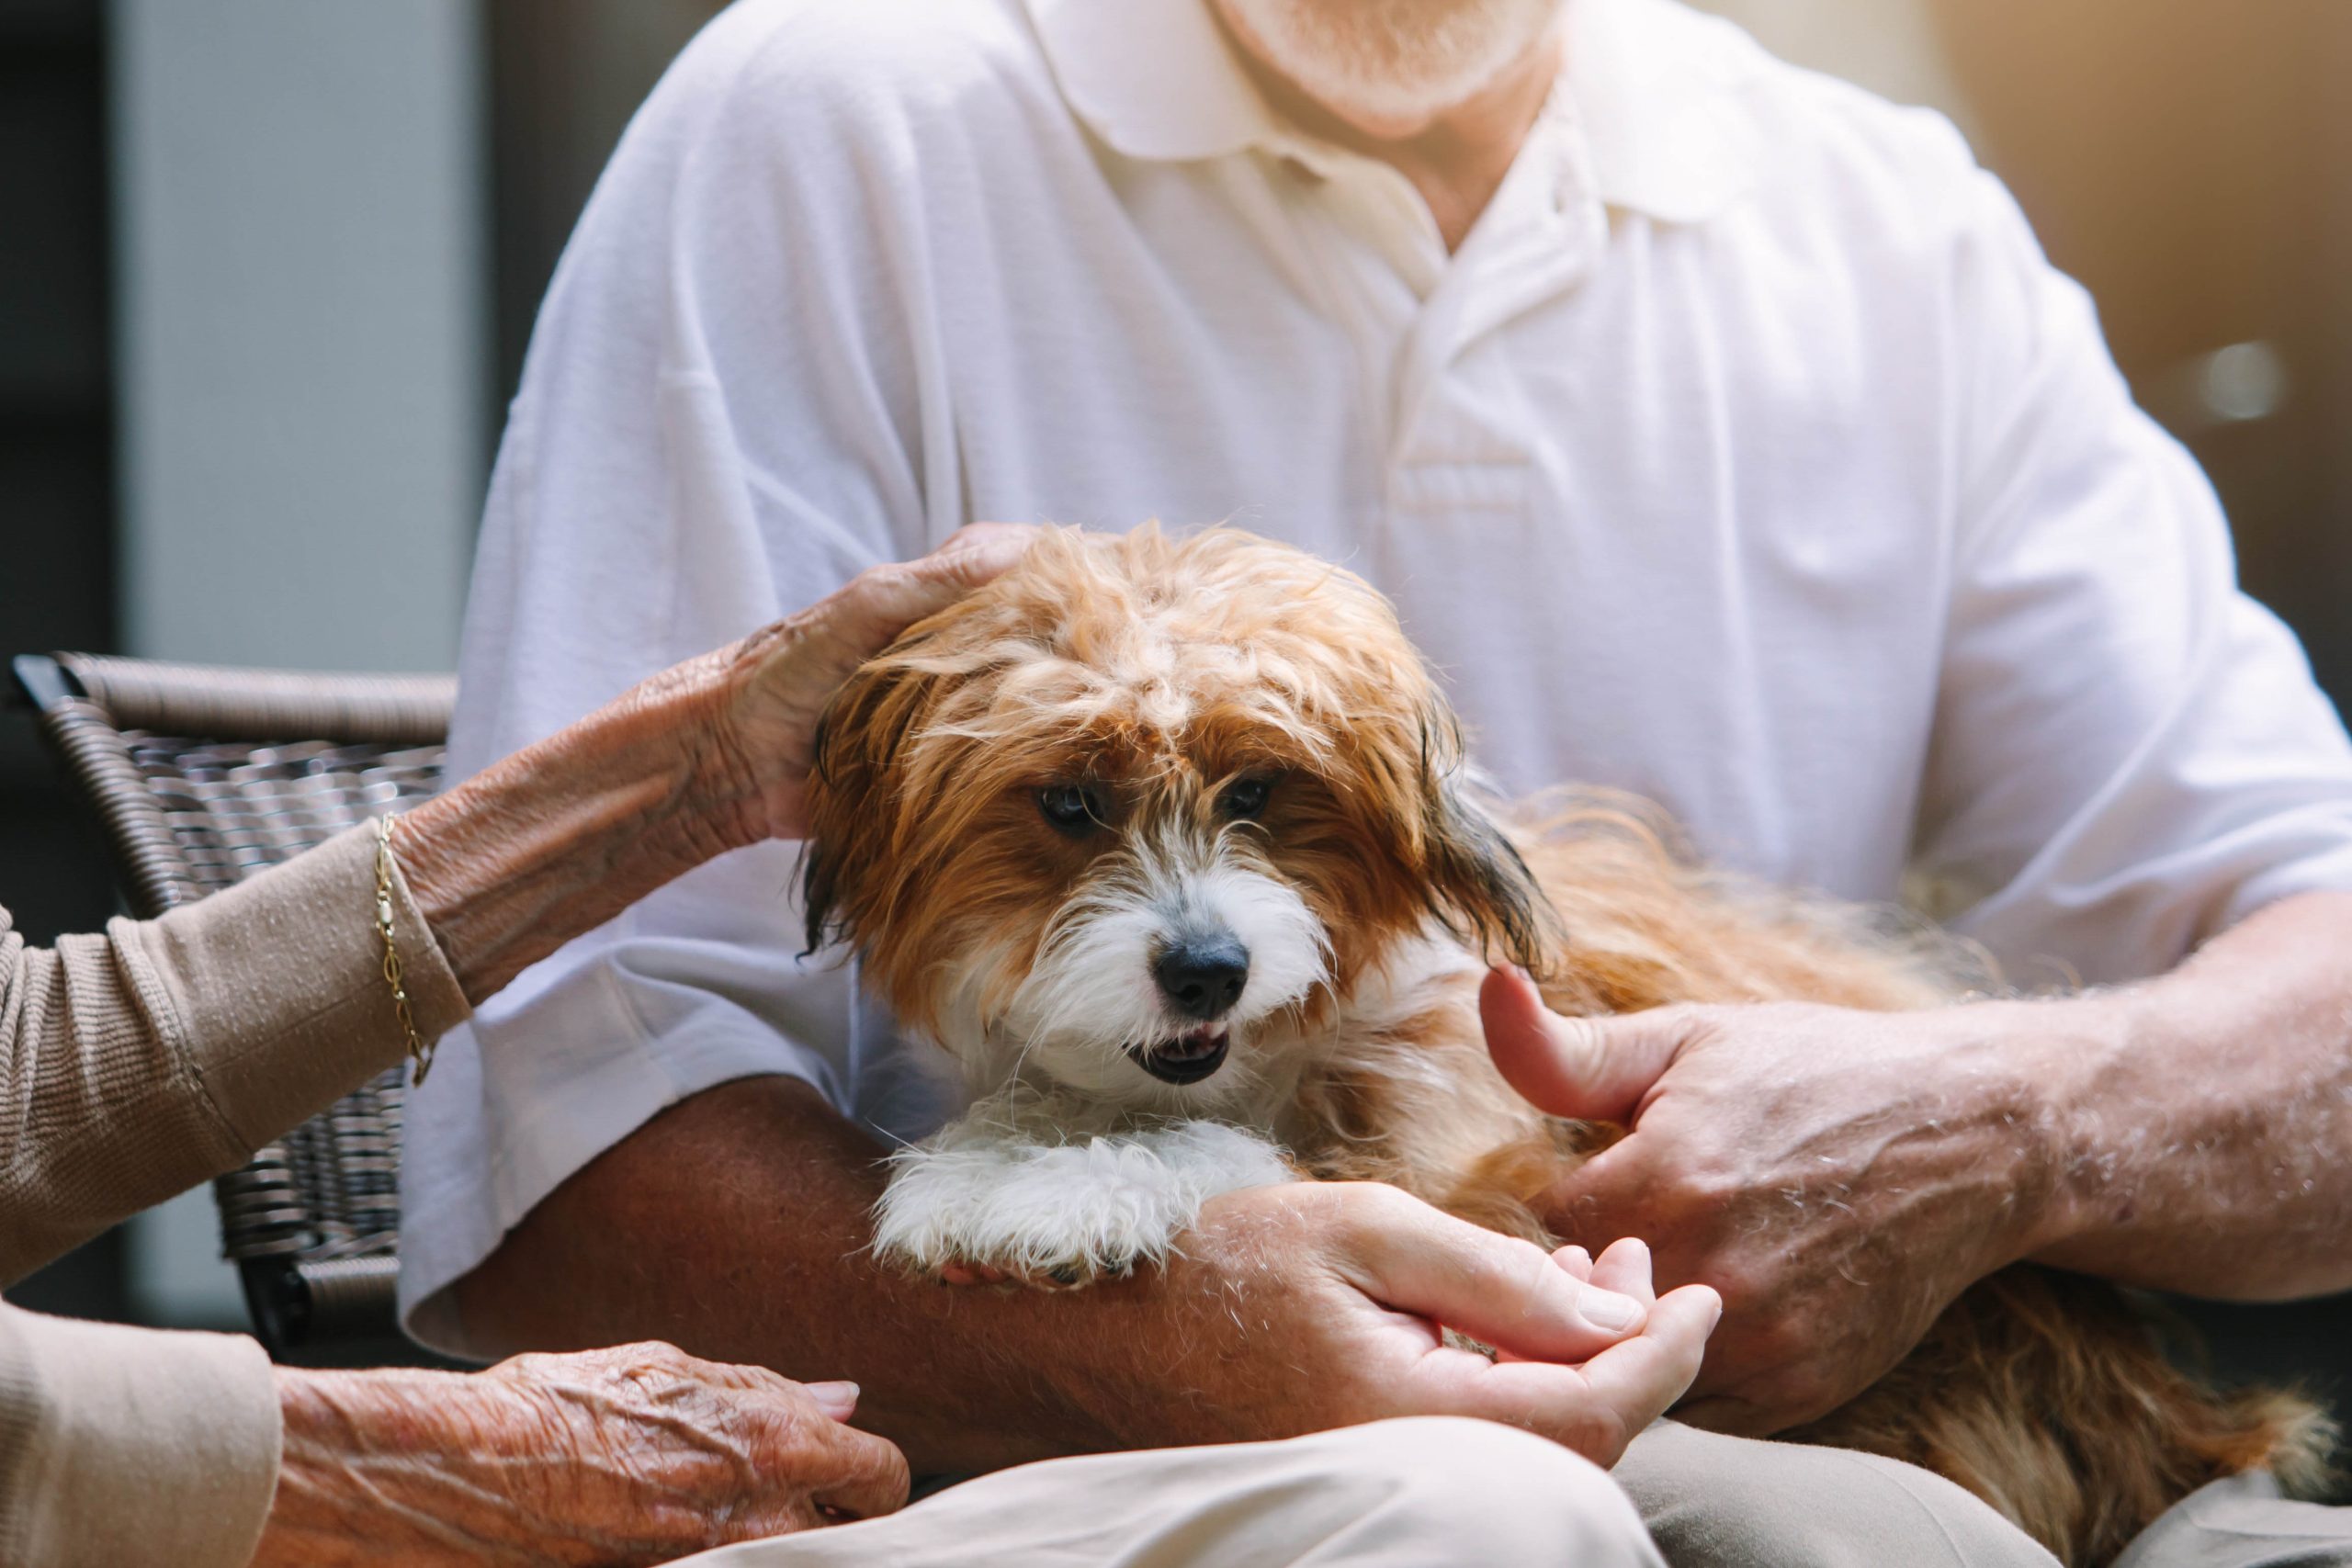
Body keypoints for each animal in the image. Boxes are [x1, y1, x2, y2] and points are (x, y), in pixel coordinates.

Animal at [804, 531, 2333, 1568]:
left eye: (1261, 791)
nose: (1208, 966)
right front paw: (989, 1162)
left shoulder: (1506, 1174)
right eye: (1068, 801)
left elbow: (1251, 1149)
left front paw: (1075, 1183)